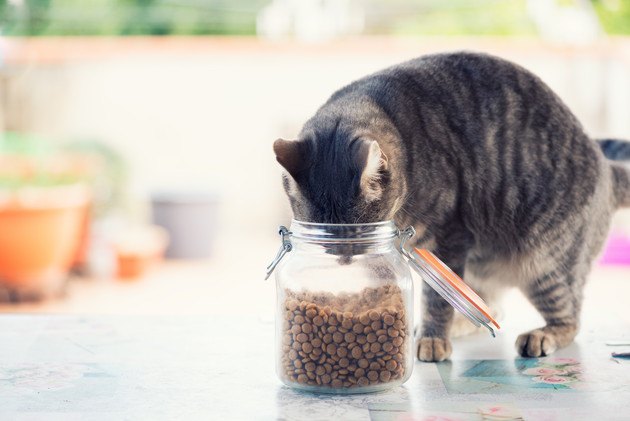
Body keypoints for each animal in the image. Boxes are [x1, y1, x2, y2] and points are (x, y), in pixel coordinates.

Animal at [274, 52, 630, 360]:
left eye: (355, 237)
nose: (345, 261)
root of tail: (606, 167)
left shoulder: (449, 237)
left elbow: (436, 300)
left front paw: (433, 338)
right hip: (484, 266)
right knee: (488, 307)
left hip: (546, 260)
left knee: (569, 317)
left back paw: (541, 335)